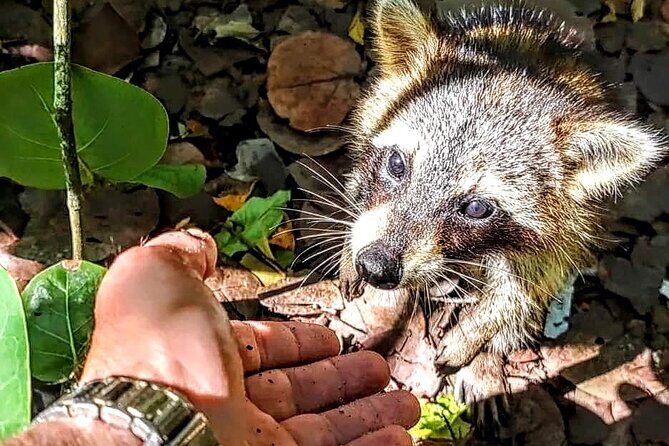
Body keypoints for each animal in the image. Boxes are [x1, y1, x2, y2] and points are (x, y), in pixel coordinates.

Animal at [336, 0, 667, 418]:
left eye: (476, 207)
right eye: (397, 164)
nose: (376, 267)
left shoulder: (567, 225)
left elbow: (524, 289)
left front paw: (477, 332)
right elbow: (359, 186)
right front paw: (349, 244)